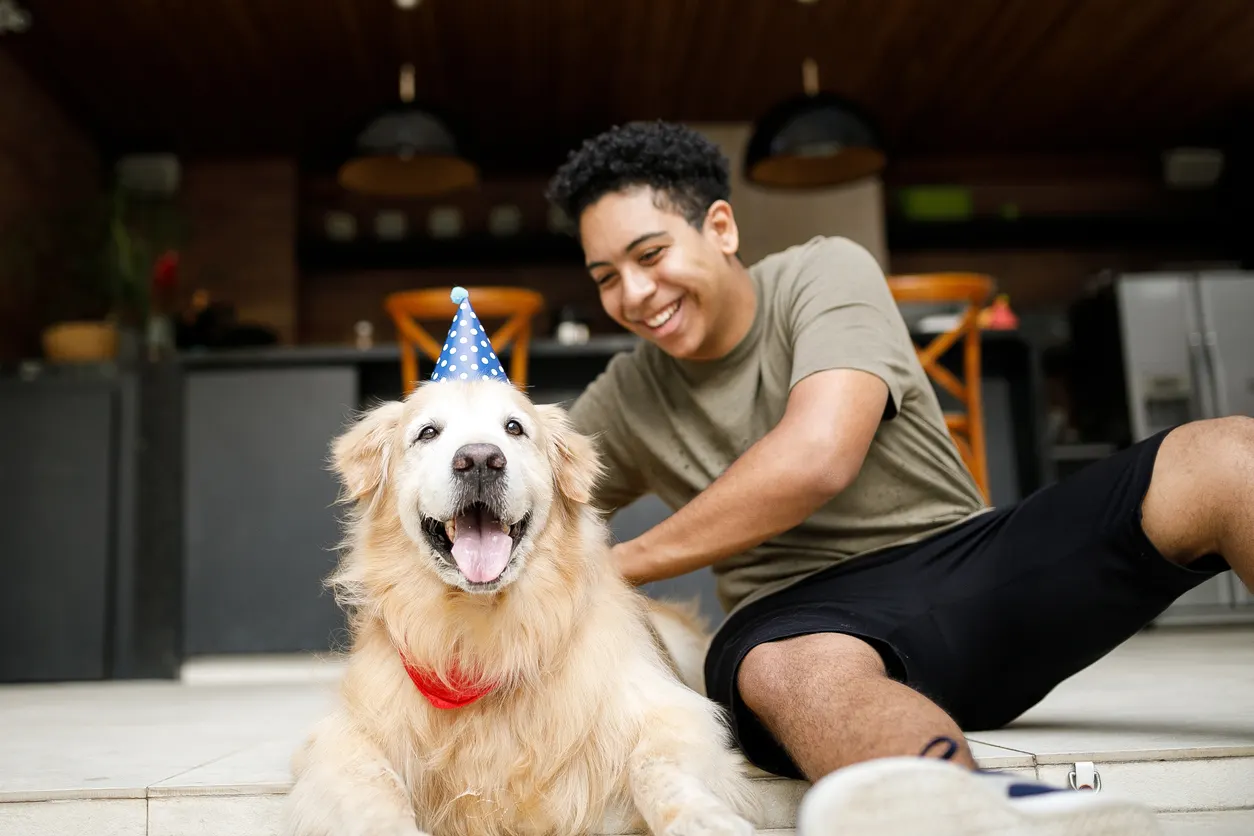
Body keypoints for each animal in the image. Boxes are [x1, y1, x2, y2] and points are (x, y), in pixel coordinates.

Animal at [285, 381, 757, 836]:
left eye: (514, 428)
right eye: (428, 432)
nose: (479, 460)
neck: (484, 634)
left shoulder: (674, 712)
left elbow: (656, 766)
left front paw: (704, 819)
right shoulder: (346, 736)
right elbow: (374, 786)